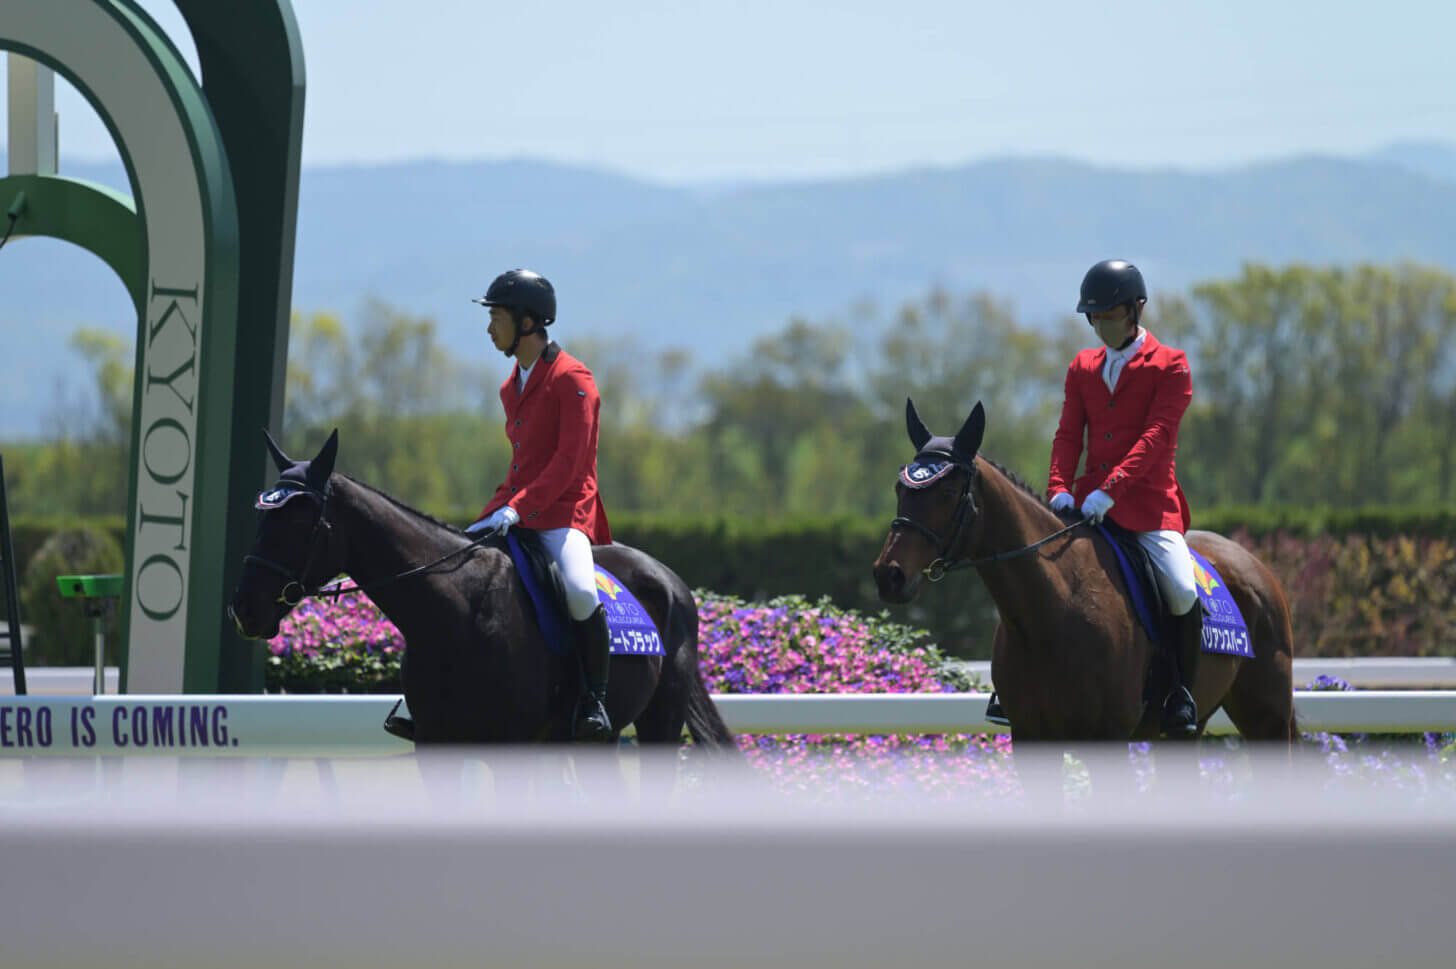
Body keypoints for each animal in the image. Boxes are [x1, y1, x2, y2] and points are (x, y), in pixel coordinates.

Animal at [230, 427, 739, 774]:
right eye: (261, 517)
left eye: (300, 522)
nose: (244, 609)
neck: (454, 611)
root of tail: (671, 581)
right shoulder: (436, 746)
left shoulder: (512, 747)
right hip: (601, 740)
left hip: (657, 725)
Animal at [873, 398, 1298, 791]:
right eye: (898, 487)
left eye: (947, 492)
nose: (888, 576)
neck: (1053, 609)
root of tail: (1256, 565)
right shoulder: (1030, 742)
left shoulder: (1107, 741)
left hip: (1267, 719)